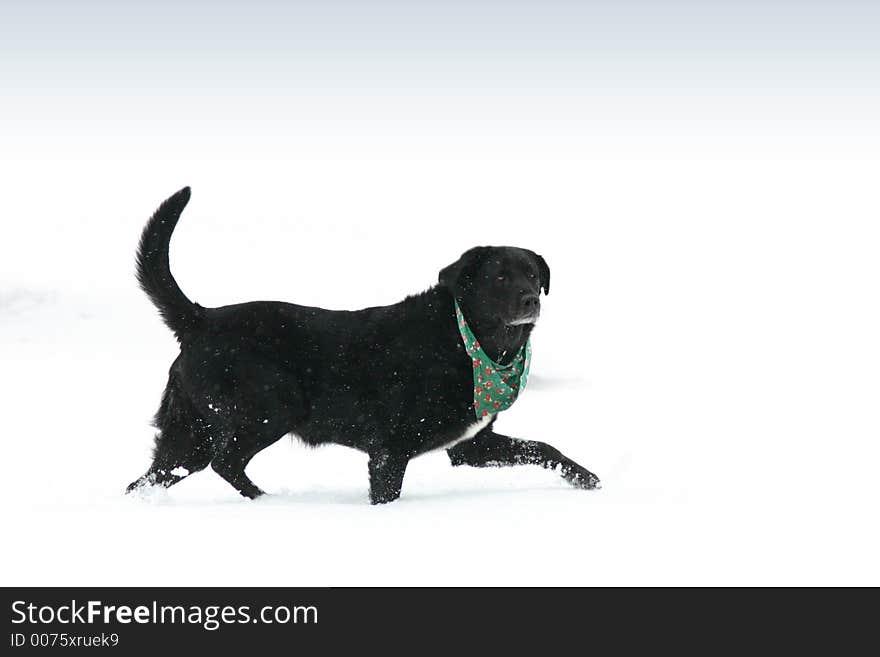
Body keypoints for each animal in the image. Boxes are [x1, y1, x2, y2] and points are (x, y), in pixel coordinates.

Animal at [127, 186, 600, 502]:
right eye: (500, 276)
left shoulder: (472, 445)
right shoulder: (390, 450)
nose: (531, 298)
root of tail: (201, 317)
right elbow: (386, 492)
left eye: (533, 274)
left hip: (188, 435)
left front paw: (586, 479)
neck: (465, 341)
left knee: (151, 477)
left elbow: (544, 448)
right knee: (225, 462)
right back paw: (266, 502)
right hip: (271, 408)